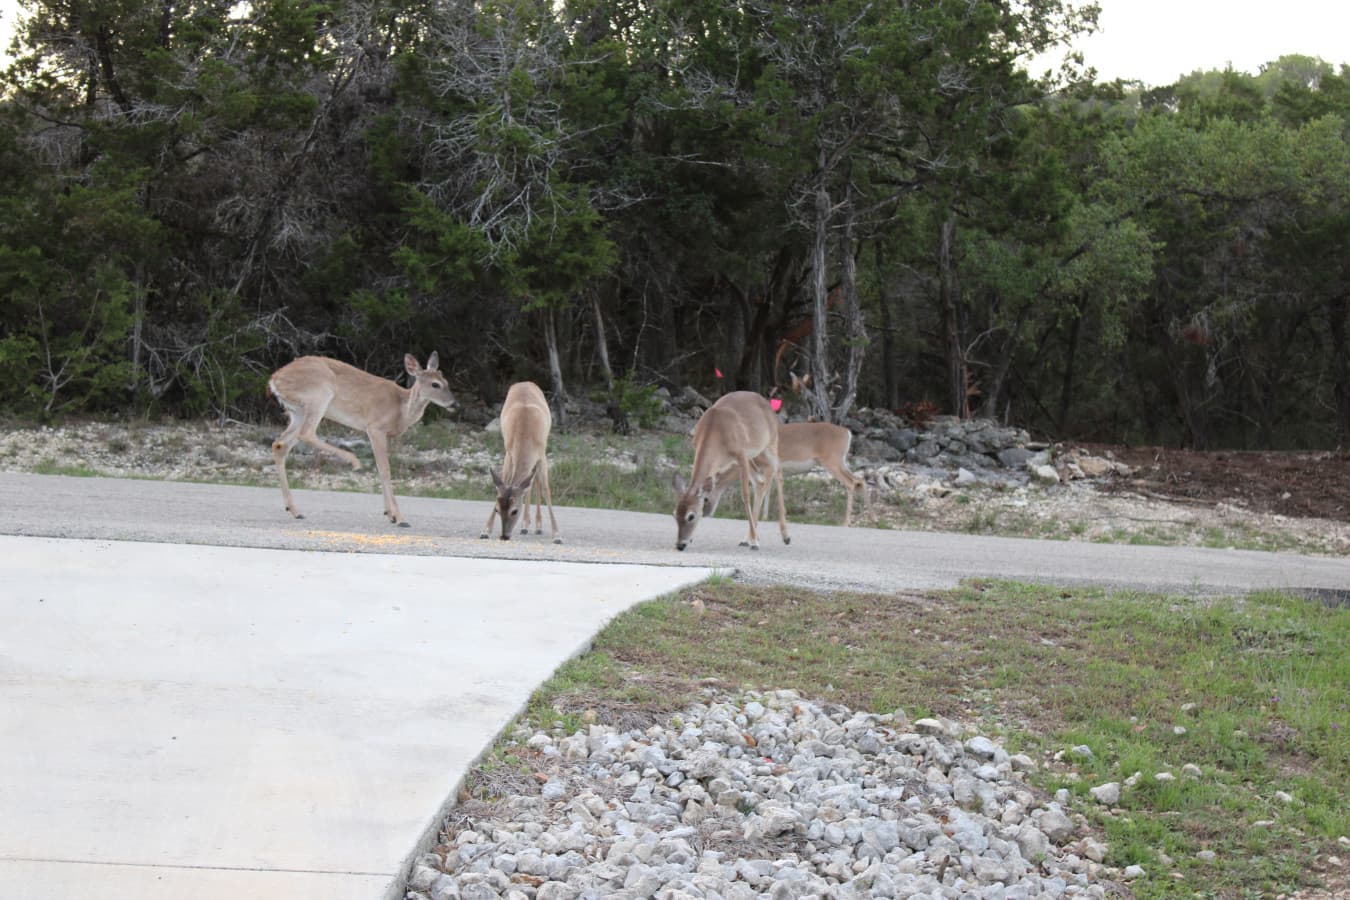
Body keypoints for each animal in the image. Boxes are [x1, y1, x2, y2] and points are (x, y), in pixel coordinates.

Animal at [267, 353, 456, 527]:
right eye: (435, 384)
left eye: (446, 382)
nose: (455, 404)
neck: (401, 409)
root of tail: (274, 380)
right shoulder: (375, 428)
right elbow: (385, 470)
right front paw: (400, 518)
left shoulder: (381, 434)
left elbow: (380, 469)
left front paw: (390, 514)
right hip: (318, 395)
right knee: (306, 433)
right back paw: (354, 461)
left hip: (297, 411)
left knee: (279, 445)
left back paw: (295, 511)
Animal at [481, 381, 562, 543]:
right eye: (497, 509)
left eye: (514, 511)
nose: (504, 536)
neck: (525, 432)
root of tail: (525, 382)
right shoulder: (509, 452)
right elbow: (505, 481)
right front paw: (486, 530)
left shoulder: (541, 454)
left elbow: (545, 490)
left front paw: (557, 535)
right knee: (528, 484)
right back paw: (525, 525)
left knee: (536, 483)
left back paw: (537, 526)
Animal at [672, 391, 790, 551]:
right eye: (674, 514)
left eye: (691, 516)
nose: (680, 545)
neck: (715, 430)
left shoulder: (741, 454)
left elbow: (745, 496)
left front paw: (755, 542)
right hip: (752, 456)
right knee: (760, 482)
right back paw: (747, 539)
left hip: (770, 443)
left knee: (778, 472)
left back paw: (785, 536)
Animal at [704, 421, 868, 526]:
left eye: (705, 498)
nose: (707, 513)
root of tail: (847, 433)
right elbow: (768, 490)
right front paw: (765, 516)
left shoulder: (766, 466)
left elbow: (764, 489)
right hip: (841, 461)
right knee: (860, 480)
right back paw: (868, 517)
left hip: (832, 460)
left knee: (851, 483)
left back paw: (845, 522)